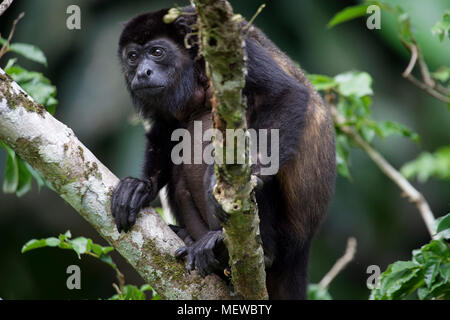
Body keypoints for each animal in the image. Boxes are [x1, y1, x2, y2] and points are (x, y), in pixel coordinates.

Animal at [113, 5, 334, 300]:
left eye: (157, 52)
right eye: (133, 57)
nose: (142, 73)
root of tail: (303, 246)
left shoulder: (230, 47)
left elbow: (285, 94)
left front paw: (246, 175)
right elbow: (165, 131)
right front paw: (140, 187)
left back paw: (242, 249)